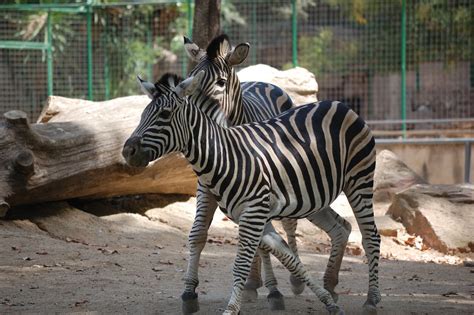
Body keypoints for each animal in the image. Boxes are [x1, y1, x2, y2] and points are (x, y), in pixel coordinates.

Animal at [121, 71, 382, 315]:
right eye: (142, 115)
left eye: (164, 114)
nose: (127, 151)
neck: (223, 156)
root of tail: (339, 104)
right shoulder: (248, 214)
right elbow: (289, 258)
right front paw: (326, 301)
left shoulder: (254, 212)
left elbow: (242, 264)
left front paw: (231, 308)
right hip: (313, 195)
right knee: (340, 228)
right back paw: (331, 286)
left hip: (359, 180)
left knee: (371, 237)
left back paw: (371, 300)